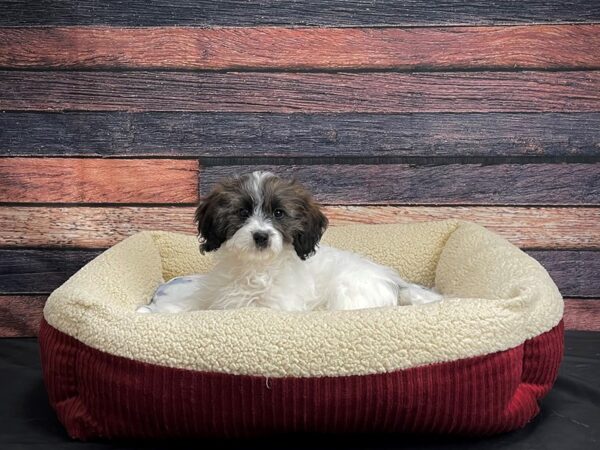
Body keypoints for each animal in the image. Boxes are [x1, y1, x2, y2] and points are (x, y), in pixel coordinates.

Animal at [138, 171, 442, 314]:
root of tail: (396, 283)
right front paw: (153, 310)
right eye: (242, 212)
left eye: (279, 213)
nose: (261, 235)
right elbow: (192, 302)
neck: (256, 269)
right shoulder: (215, 293)